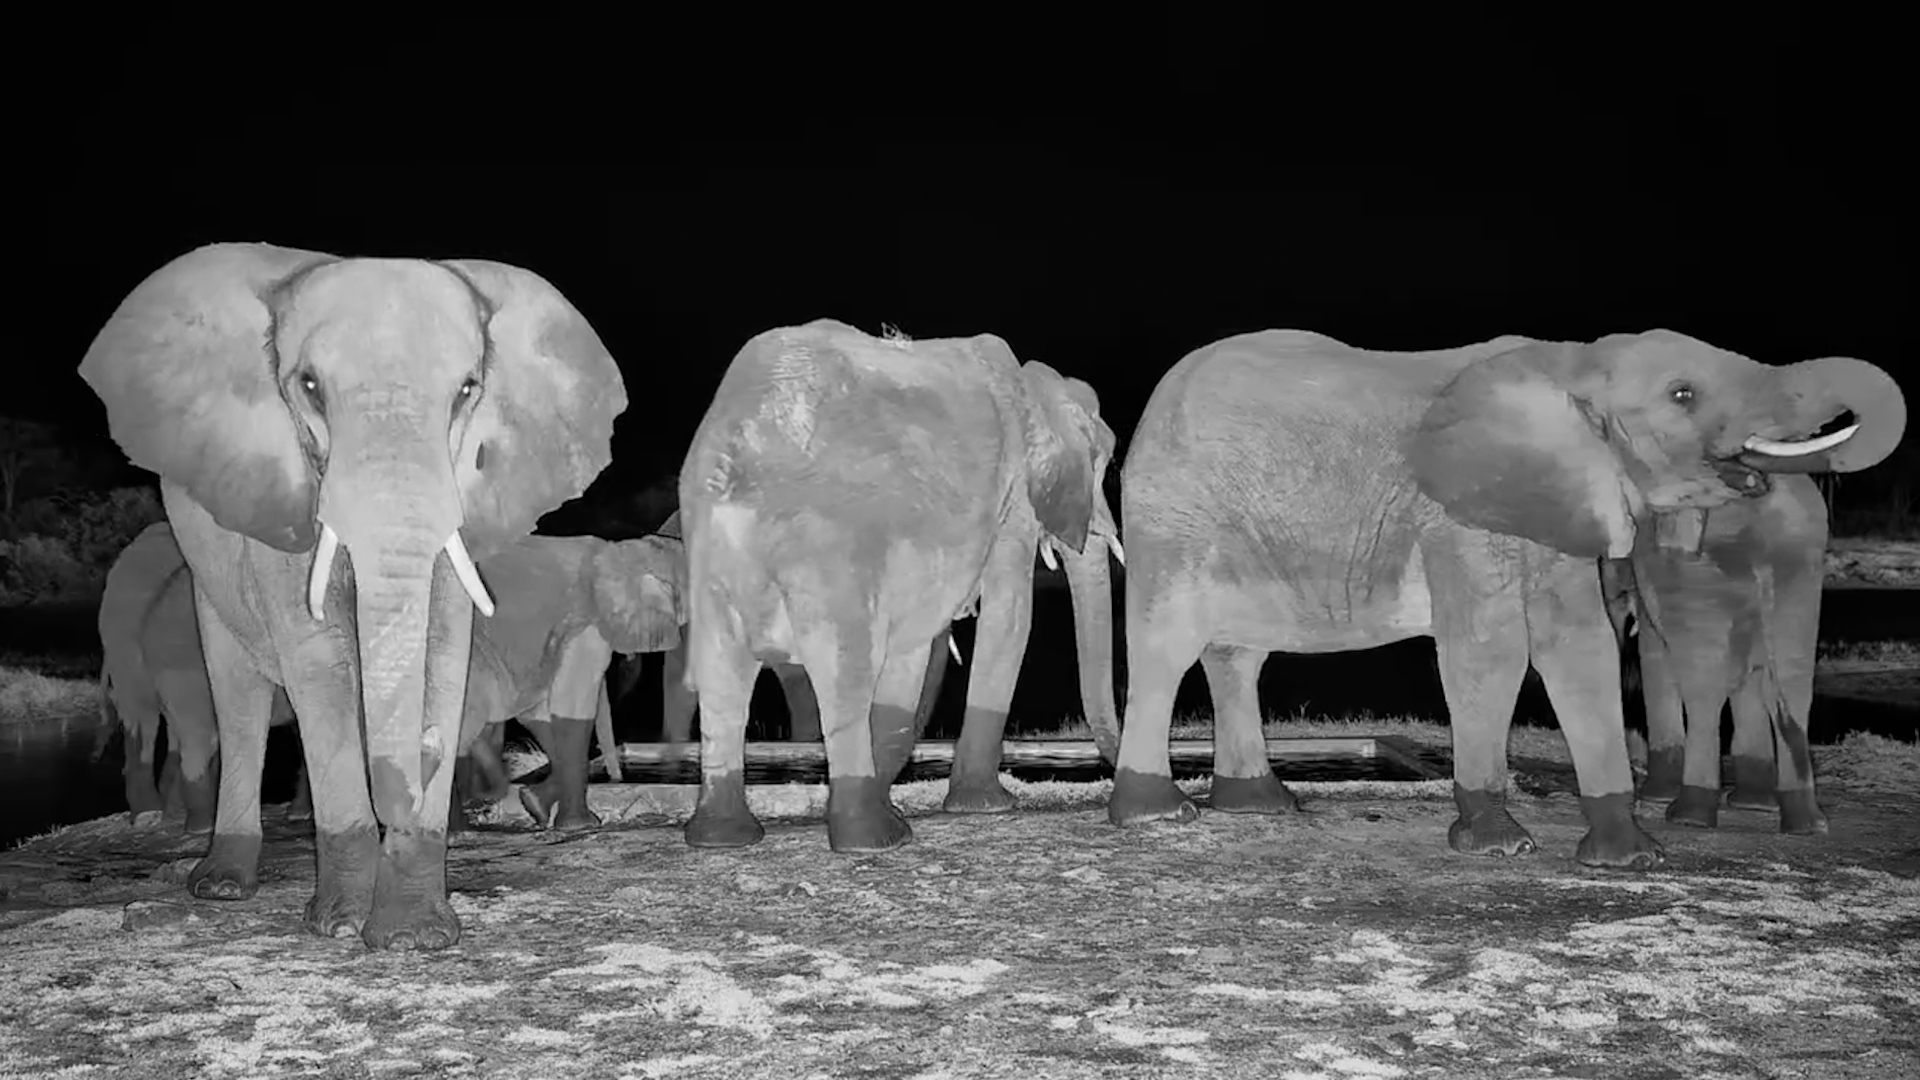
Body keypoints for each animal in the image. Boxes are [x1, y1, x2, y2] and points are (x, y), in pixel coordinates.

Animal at [451, 533, 685, 831]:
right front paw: (582, 825)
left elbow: (539, 714)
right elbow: (571, 707)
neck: (617, 552)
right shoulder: (585, 628)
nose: (617, 778)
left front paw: (534, 805)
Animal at [1096, 328, 1903, 869]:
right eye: (1684, 395)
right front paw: (1498, 844)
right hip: (1174, 515)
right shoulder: (1457, 517)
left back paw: (1261, 803)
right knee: (1169, 645)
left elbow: (1584, 649)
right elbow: (1490, 651)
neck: (1571, 366)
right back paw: (1157, 815)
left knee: (1237, 655)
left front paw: (1629, 857)